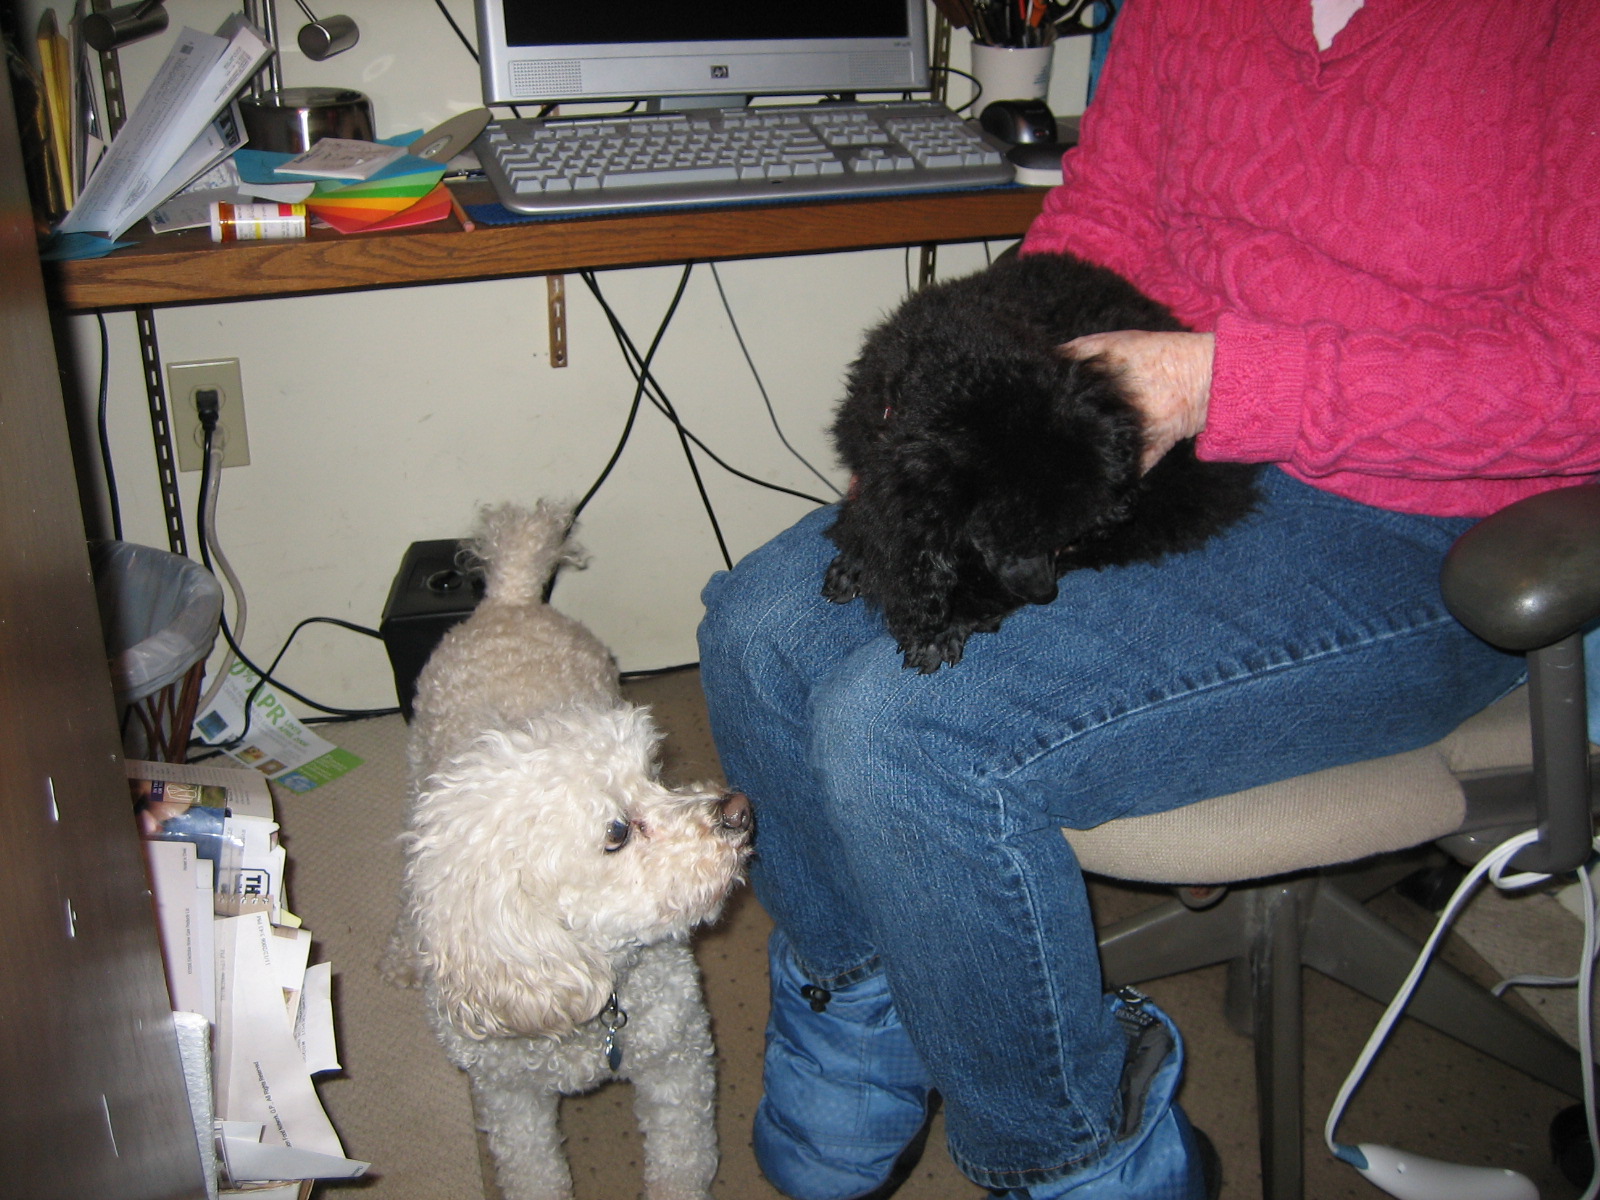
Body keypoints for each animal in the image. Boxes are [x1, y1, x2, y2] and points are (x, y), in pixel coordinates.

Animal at [384, 501, 752, 1200]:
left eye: (655, 773)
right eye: (616, 833)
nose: (740, 812)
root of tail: (509, 597)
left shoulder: (677, 1066)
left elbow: (681, 1158)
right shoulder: (508, 1096)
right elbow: (533, 1171)